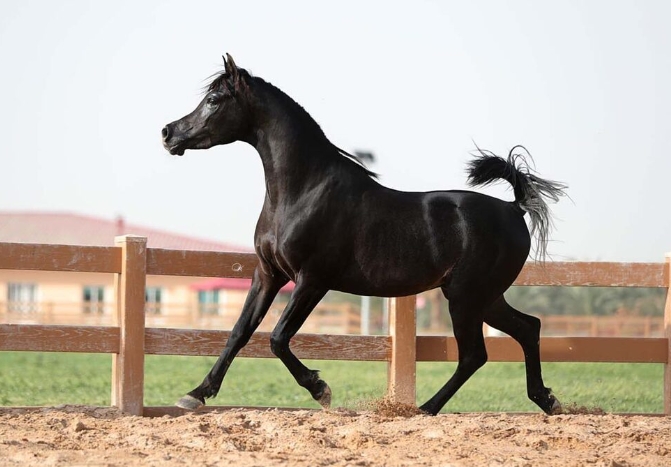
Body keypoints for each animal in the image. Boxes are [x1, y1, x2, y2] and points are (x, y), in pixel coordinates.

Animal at [163, 54, 568, 416]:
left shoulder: (312, 280)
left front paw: (321, 389)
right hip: (484, 297)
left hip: (466, 297)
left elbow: (277, 338)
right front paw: (195, 395)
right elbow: (239, 333)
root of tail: (514, 209)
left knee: (475, 354)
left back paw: (426, 408)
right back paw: (546, 400)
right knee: (527, 328)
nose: (168, 133)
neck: (303, 190)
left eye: (214, 99)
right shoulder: (268, 274)